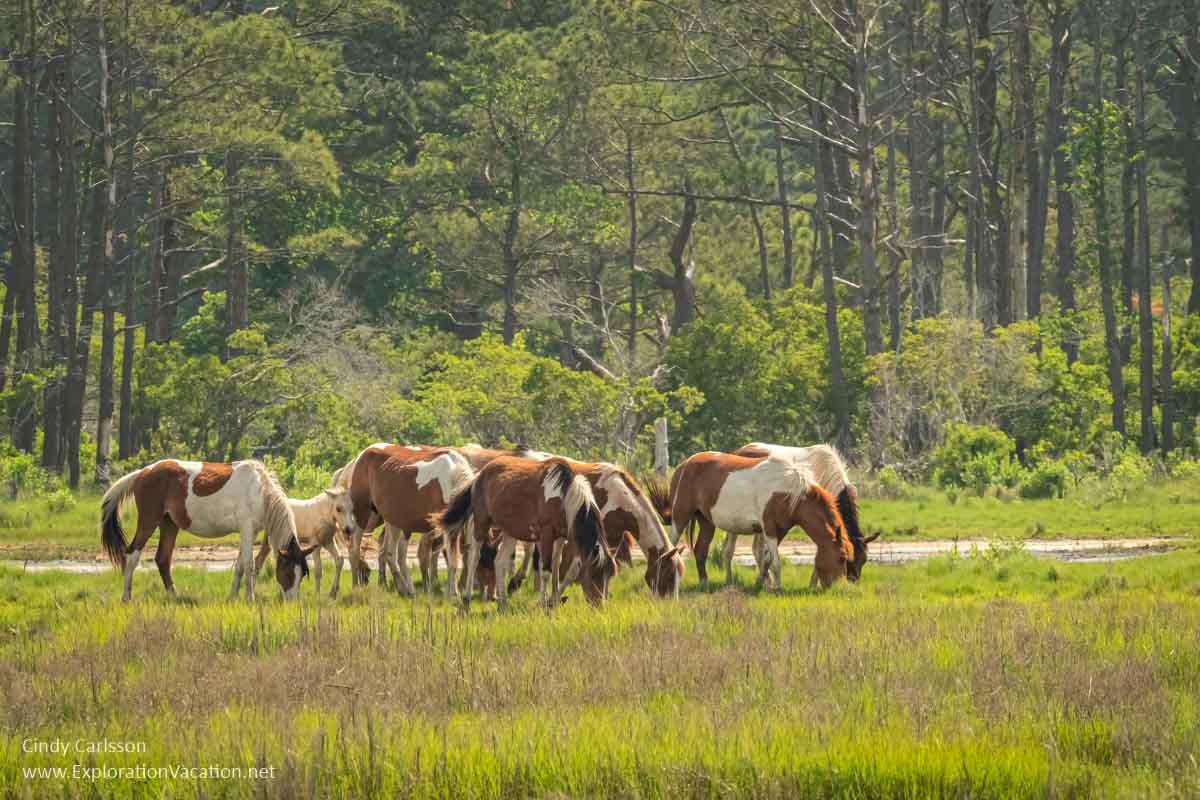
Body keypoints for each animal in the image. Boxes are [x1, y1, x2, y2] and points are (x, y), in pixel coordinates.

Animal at [99, 455, 312, 599]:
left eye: (302, 575)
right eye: (288, 572)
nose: (292, 603)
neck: (259, 490)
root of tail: (144, 472)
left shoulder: (249, 532)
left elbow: (240, 565)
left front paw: (232, 597)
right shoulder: (247, 529)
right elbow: (249, 564)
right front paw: (249, 598)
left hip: (169, 524)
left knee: (162, 559)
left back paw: (174, 596)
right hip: (148, 521)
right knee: (132, 555)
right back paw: (126, 597)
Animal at [439, 455, 619, 614]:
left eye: (610, 575)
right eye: (595, 574)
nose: (600, 606)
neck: (564, 497)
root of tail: (480, 475)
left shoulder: (560, 538)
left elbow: (556, 567)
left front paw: (553, 601)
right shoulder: (546, 535)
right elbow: (546, 571)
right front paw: (543, 605)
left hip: (509, 531)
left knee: (499, 561)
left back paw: (502, 603)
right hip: (481, 523)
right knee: (474, 558)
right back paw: (466, 602)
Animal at [667, 453, 854, 592]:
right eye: (842, 558)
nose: (839, 587)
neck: (789, 492)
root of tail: (684, 464)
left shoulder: (780, 530)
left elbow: (766, 559)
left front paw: (761, 583)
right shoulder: (769, 529)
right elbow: (776, 562)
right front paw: (777, 588)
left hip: (706, 522)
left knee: (700, 551)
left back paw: (704, 582)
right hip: (680, 518)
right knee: (672, 545)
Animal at [729, 443, 883, 582]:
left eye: (864, 560)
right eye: (848, 558)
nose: (853, 579)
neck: (825, 472)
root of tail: (741, 449)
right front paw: (813, 583)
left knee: (756, 549)